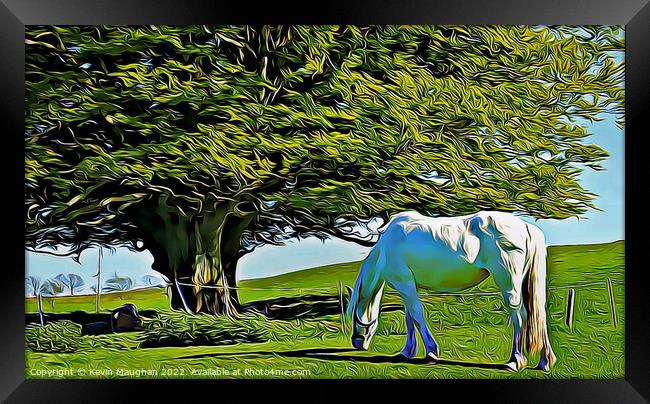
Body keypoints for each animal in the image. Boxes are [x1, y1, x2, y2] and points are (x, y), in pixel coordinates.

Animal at [344, 211, 556, 372]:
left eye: (353, 317)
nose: (357, 343)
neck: (387, 246)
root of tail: (527, 228)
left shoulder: (404, 284)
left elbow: (417, 315)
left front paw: (431, 353)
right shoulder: (409, 286)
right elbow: (410, 318)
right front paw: (407, 352)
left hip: (509, 284)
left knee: (520, 316)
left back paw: (515, 361)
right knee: (538, 317)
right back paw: (545, 362)